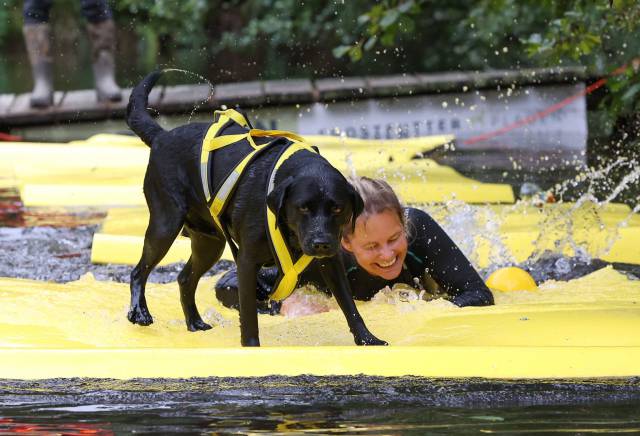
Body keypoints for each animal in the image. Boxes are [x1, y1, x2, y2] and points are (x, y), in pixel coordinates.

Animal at [124, 70, 384, 346]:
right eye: (303, 208)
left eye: (337, 209)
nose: (321, 243)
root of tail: (161, 136)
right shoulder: (247, 262)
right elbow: (249, 316)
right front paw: (252, 348)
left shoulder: (332, 262)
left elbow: (349, 305)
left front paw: (367, 339)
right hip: (165, 225)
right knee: (139, 271)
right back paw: (139, 312)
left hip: (210, 242)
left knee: (184, 279)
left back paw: (194, 322)